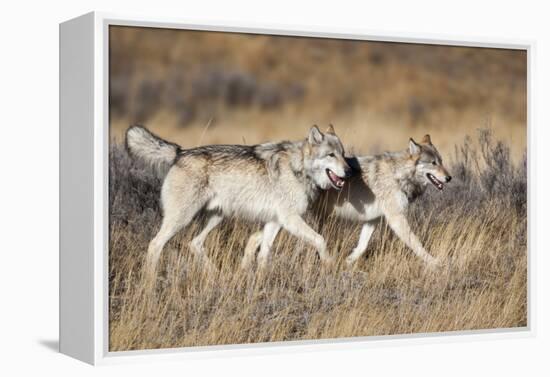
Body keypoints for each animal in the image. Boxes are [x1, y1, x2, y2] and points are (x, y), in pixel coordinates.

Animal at [126, 125, 352, 274]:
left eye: (343, 154)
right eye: (331, 155)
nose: (350, 171)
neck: (299, 167)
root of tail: (180, 152)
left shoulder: (275, 221)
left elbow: (262, 252)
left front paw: (258, 279)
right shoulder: (289, 219)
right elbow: (320, 240)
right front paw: (330, 265)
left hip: (216, 217)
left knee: (195, 243)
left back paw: (216, 277)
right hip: (182, 219)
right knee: (155, 245)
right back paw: (150, 283)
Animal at [245, 134, 452, 268]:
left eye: (441, 161)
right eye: (433, 163)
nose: (449, 178)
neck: (398, 174)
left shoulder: (373, 219)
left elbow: (362, 246)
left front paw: (348, 262)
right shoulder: (396, 218)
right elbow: (416, 243)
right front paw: (435, 262)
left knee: (255, 237)